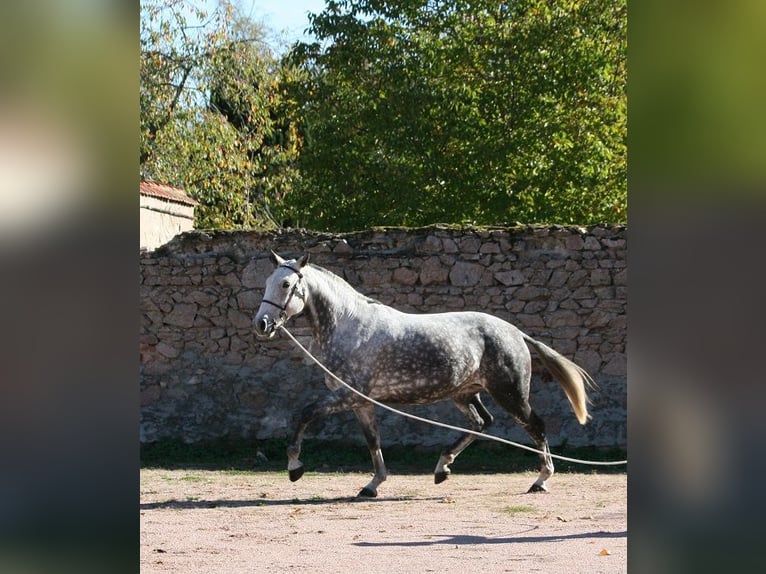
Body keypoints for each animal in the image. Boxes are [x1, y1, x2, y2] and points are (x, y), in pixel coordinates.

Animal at [255, 252, 596, 500]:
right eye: (268, 281)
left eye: (286, 284)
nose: (262, 324)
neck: (348, 325)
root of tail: (515, 332)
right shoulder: (361, 403)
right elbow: (373, 441)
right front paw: (372, 486)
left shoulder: (347, 395)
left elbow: (304, 413)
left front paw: (295, 467)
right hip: (464, 393)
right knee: (481, 423)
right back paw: (442, 468)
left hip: (510, 393)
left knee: (535, 426)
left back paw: (541, 481)